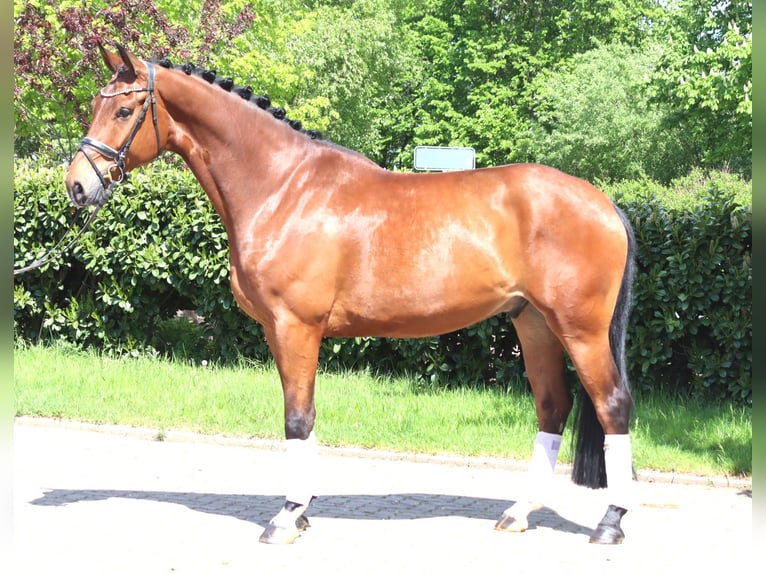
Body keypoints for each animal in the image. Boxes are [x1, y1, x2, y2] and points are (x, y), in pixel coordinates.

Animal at [65, 44, 637, 546]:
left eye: (123, 109)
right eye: (95, 105)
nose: (76, 186)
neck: (283, 188)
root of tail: (605, 203)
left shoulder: (296, 326)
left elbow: (297, 417)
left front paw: (286, 517)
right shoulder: (280, 331)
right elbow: (304, 414)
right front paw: (302, 511)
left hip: (580, 330)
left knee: (612, 406)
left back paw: (610, 522)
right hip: (533, 323)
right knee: (552, 407)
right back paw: (518, 514)